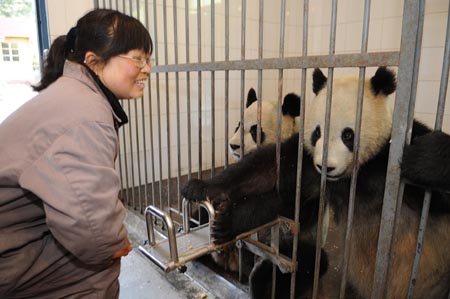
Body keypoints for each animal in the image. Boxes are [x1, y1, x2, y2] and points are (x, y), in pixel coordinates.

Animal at [182, 67, 450, 298]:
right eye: (238, 125)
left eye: (255, 130)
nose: (233, 145)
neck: (356, 172)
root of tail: (233, 262)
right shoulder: (305, 160)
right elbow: (262, 170)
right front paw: (199, 188)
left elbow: (285, 203)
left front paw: (228, 221)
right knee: (201, 218)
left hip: (291, 251)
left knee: (295, 266)